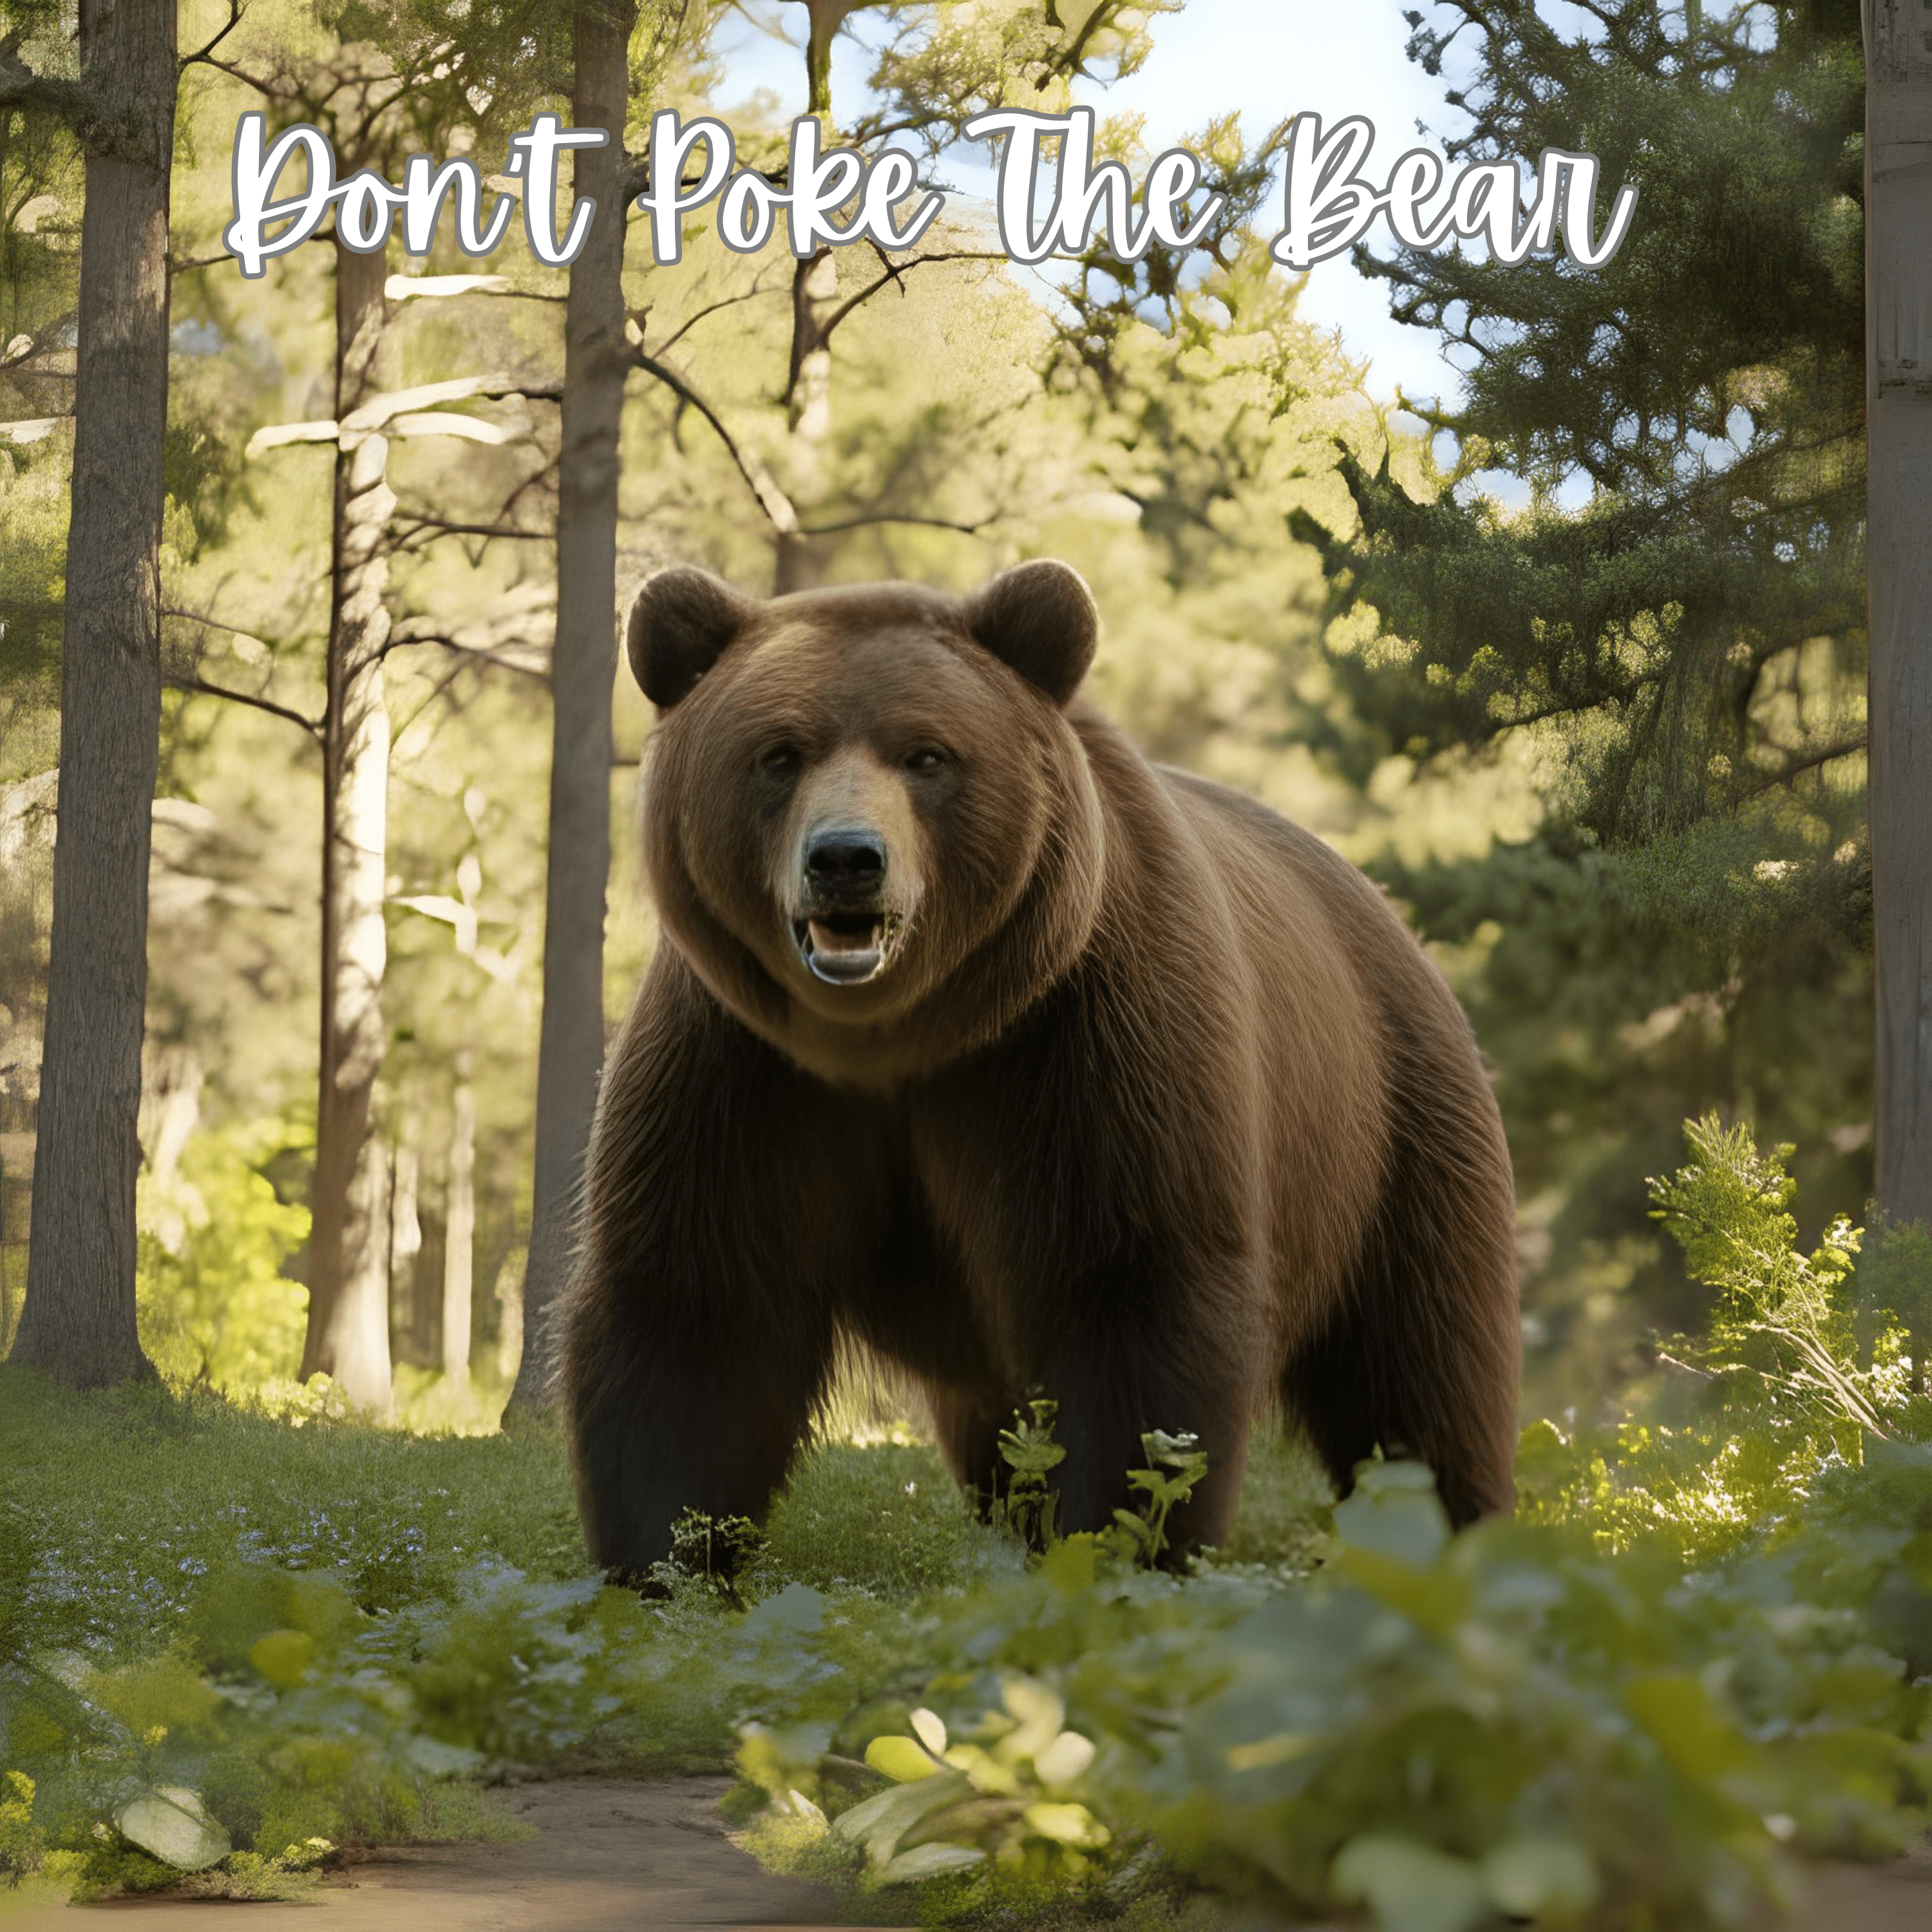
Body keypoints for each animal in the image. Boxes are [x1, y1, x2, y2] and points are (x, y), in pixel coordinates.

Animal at [558, 558, 1520, 1573]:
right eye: (780, 753)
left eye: (927, 755)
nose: (847, 859)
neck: (899, 1038)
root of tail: (1382, 906)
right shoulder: (744, 1071)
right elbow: (698, 1308)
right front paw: (666, 1555)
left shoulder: (1083, 1041)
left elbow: (1134, 1289)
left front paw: (1124, 1538)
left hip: (1394, 1130)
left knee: (1418, 1368)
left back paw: (1449, 1526)